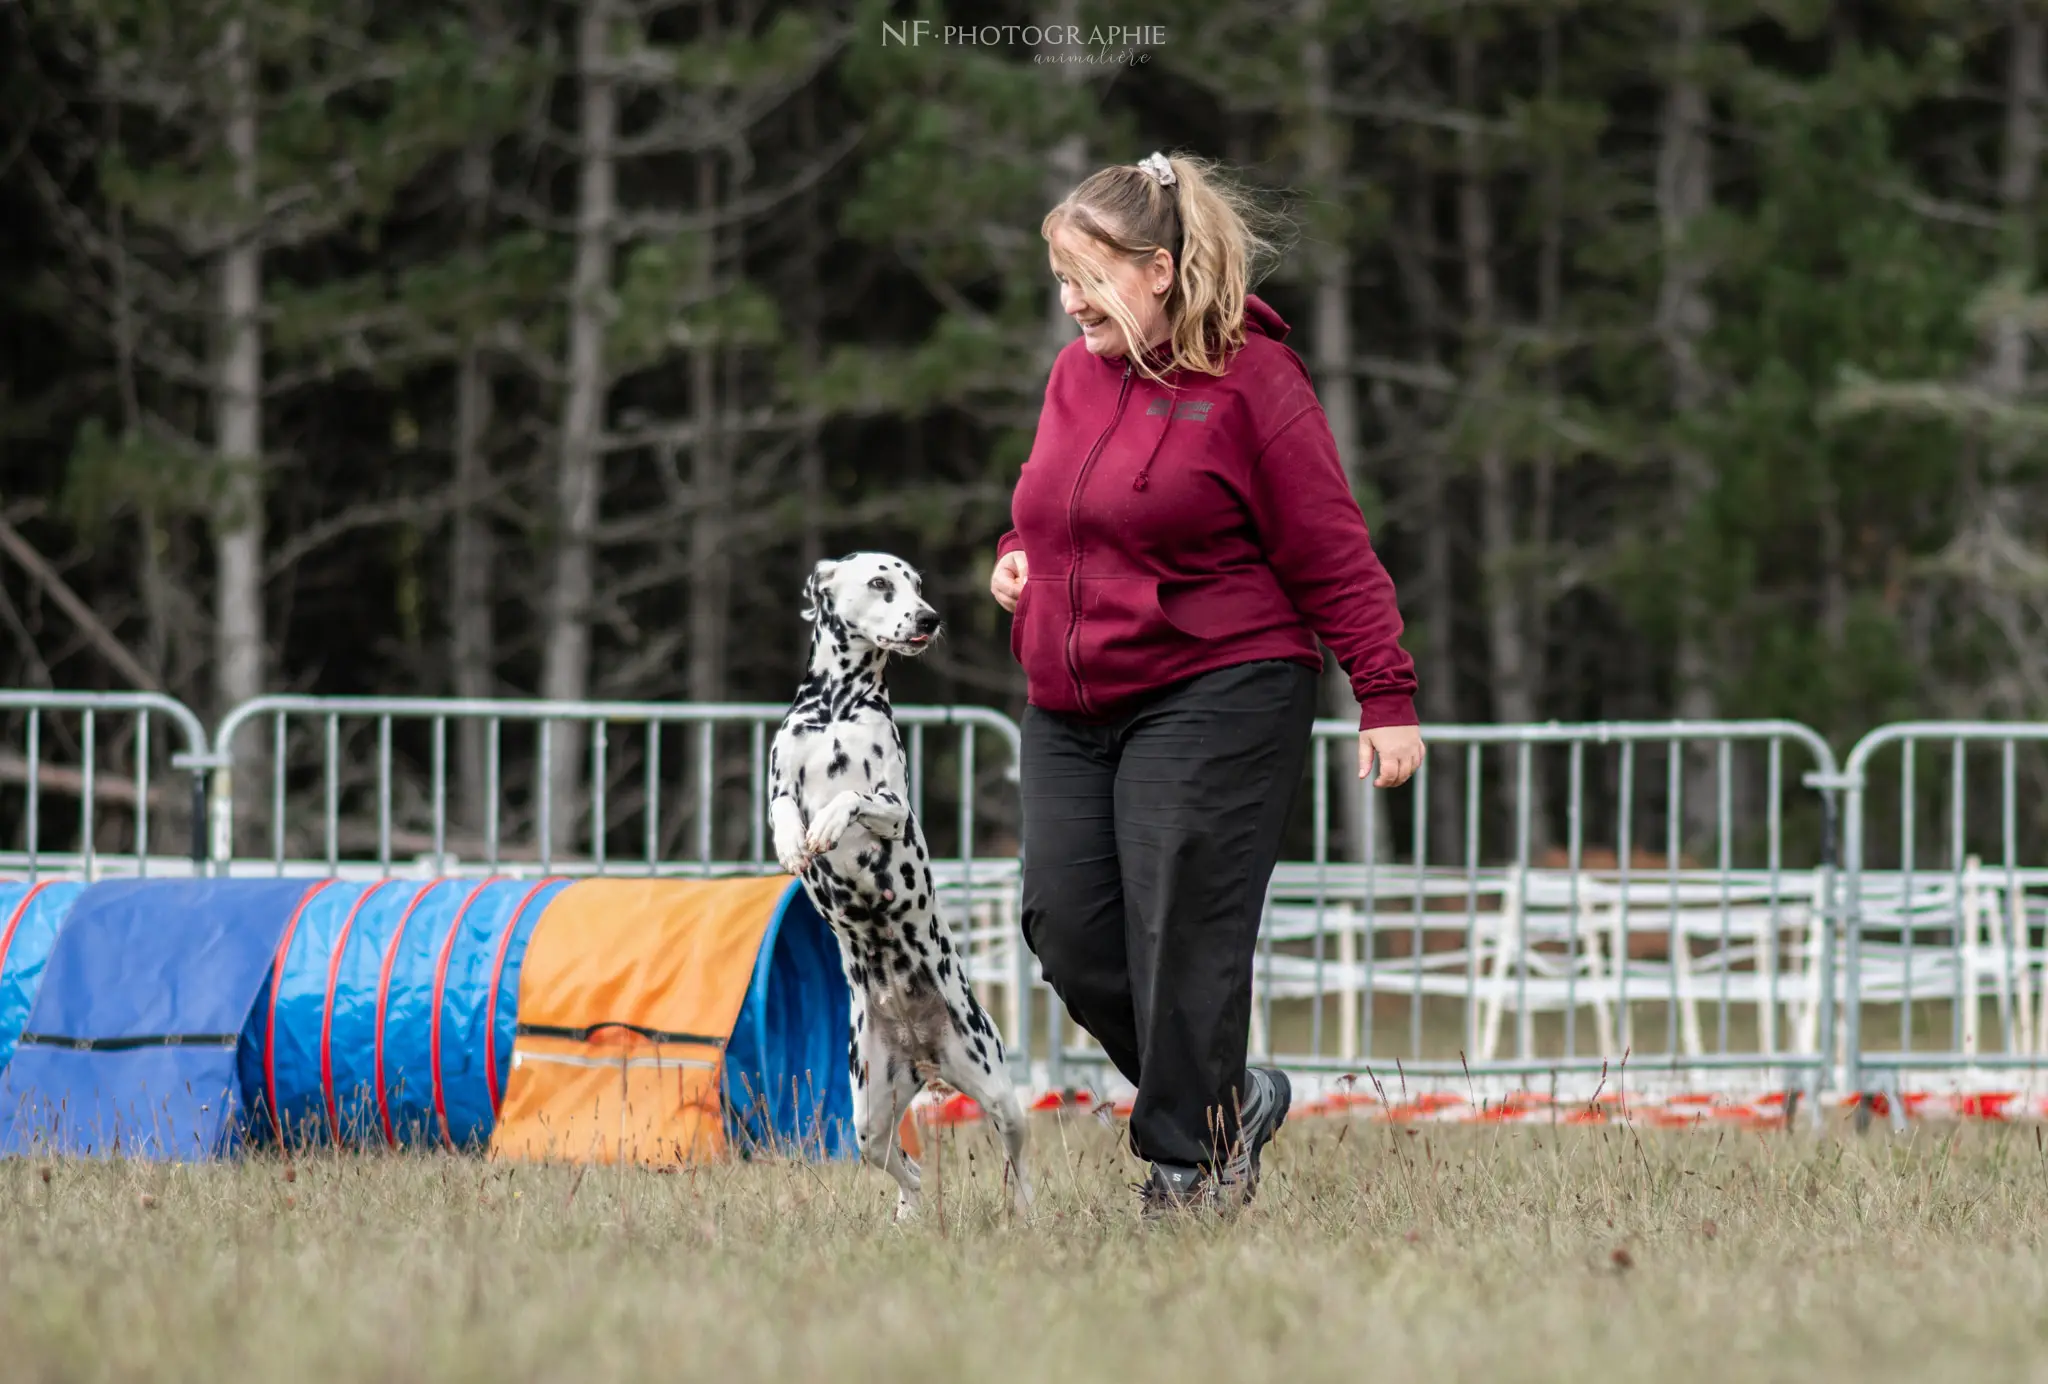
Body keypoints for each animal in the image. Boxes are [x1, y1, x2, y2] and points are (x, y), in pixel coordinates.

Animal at [770, 552, 1032, 1220]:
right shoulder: (780, 782)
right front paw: (793, 844)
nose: (928, 618)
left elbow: (852, 798)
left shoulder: (892, 803)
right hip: (870, 1118)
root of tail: (923, 1051)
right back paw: (908, 1214)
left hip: (999, 1094)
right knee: (905, 1168)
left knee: (1019, 1168)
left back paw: (1027, 1212)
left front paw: (828, 823)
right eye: (880, 583)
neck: (837, 710)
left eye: (916, 586)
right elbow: (784, 811)